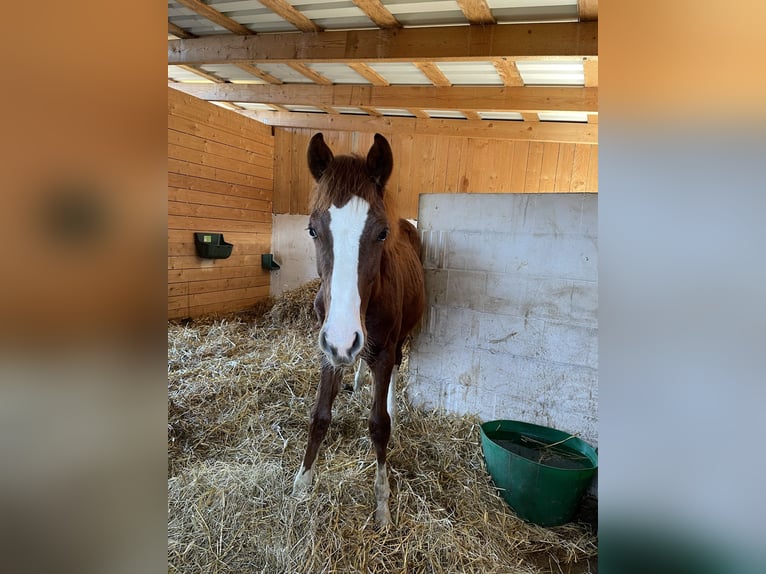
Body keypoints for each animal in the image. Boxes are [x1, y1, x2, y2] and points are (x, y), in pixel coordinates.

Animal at [292, 133, 426, 528]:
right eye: (312, 229)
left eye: (382, 233)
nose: (344, 338)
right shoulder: (329, 351)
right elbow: (319, 416)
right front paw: (301, 485)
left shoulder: (382, 348)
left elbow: (379, 424)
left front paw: (383, 503)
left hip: (396, 341)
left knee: (395, 367)